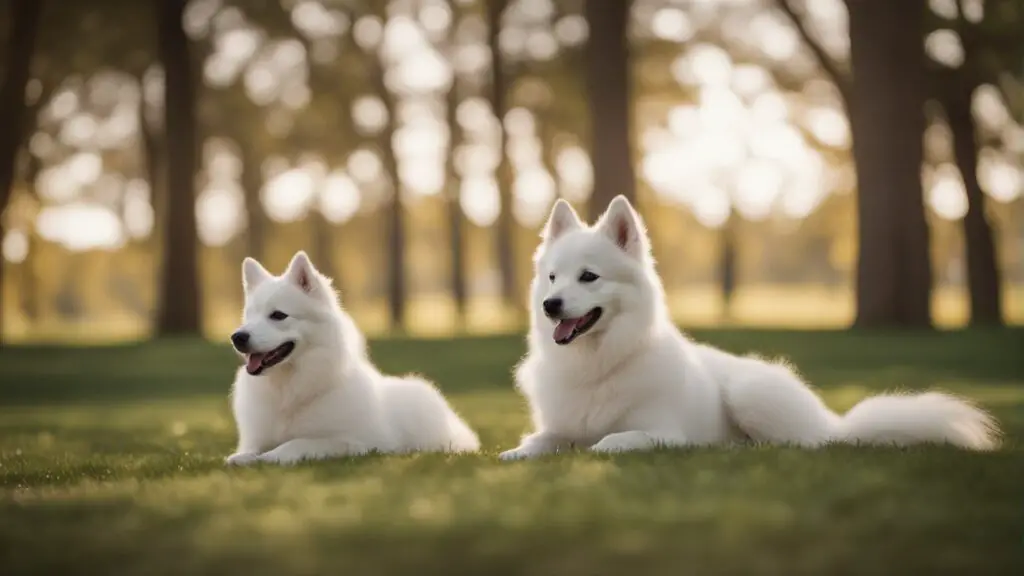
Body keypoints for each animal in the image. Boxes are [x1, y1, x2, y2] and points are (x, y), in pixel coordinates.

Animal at [224, 249, 479, 463]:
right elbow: (249, 450)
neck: (290, 389)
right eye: (250, 316)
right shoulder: (256, 438)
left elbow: (296, 444)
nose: (237, 337)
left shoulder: (352, 442)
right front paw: (243, 458)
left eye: (278, 315)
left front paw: (269, 457)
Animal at [501, 195, 999, 457]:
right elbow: (539, 442)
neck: (598, 363)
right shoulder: (558, 428)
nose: (549, 305)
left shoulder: (664, 432)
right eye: (552, 277)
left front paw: (599, 446)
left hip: (751, 393)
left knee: (809, 445)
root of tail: (836, 423)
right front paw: (515, 453)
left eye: (589, 277)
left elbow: (613, 439)